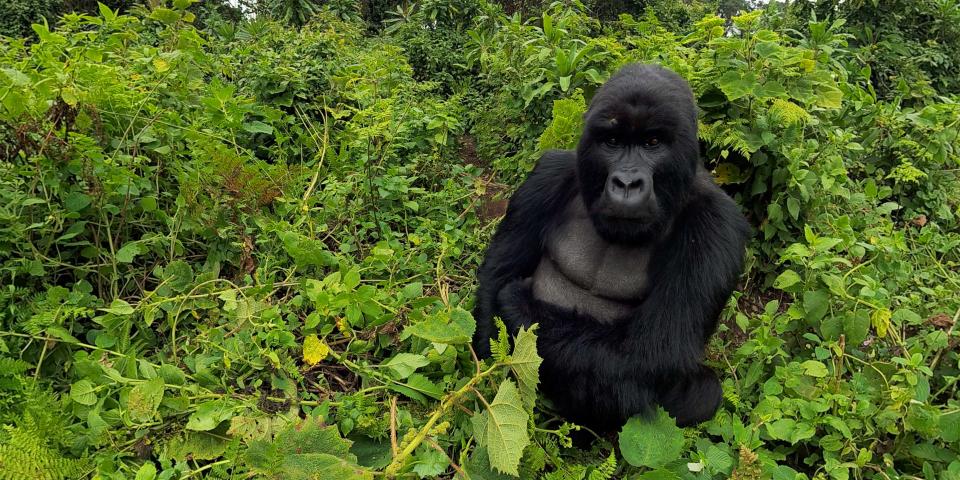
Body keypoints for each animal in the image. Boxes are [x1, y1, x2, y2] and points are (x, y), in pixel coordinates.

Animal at [472, 63, 752, 432]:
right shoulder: (548, 175)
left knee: (702, 393)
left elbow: (650, 351)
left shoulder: (717, 225)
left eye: (652, 142)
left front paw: (519, 303)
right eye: (613, 141)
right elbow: (496, 284)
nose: (627, 183)